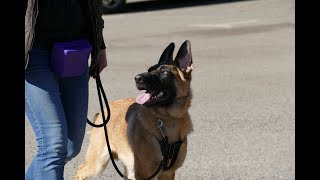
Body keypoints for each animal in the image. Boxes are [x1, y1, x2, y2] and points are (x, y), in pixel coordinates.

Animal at [75, 40, 194, 179]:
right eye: (150, 70)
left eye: (164, 72)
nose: (137, 78)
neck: (168, 119)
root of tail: (103, 111)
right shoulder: (142, 174)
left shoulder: (167, 173)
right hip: (98, 163)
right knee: (80, 170)